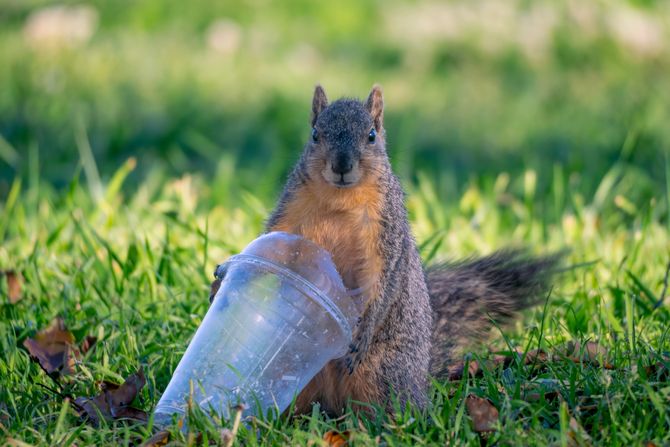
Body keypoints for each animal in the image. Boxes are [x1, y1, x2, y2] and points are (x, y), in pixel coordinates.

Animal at [210, 85, 560, 416]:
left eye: (371, 136)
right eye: (315, 135)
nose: (341, 165)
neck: (339, 199)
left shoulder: (387, 231)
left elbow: (383, 280)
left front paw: (362, 333)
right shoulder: (291, 209)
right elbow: (269, 242)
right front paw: (220, 280)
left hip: (384, 373)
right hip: (290, 370)